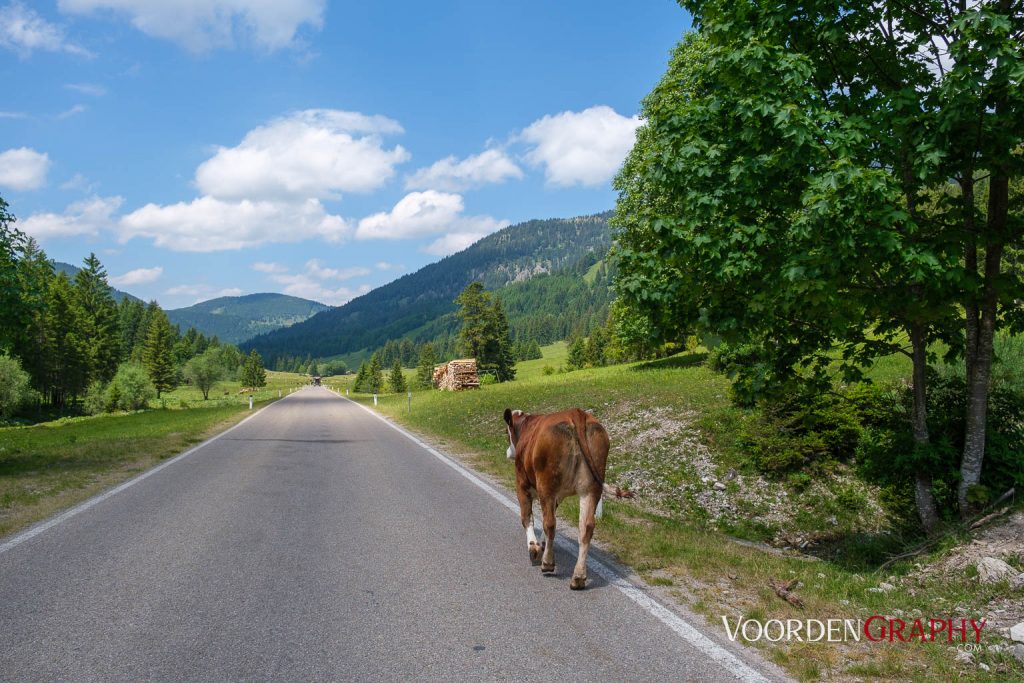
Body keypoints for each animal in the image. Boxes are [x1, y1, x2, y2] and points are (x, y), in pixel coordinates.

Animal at [501, 409, 622, 589]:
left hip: (546, 485)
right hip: (591, 489)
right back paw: (578, 577)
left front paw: (534, 548)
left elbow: (528, 517)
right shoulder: (558, 496)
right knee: (586, 528)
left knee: (550, 523)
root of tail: (576, 413)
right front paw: (542, 545)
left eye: (506, 432)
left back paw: (547, 563)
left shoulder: (522, 484)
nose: (508, 452)